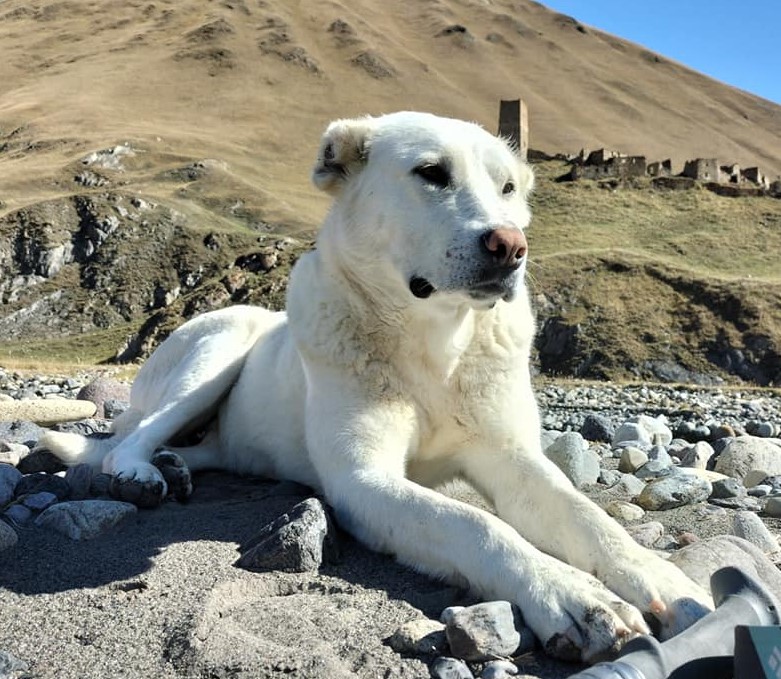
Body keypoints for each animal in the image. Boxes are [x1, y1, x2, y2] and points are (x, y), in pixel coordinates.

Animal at [44, 111, 712, 664]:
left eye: (508, 188)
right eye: (431, 173)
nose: (510, 246)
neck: (433, 342)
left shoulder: (511, 456)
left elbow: (588, 517)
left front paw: (665, 581)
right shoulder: (365, 481)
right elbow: (476, 525)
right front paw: (572, 596)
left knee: (196, 448)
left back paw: (177, 466)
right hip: (219, 344)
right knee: (126, 440)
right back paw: (141, 471)